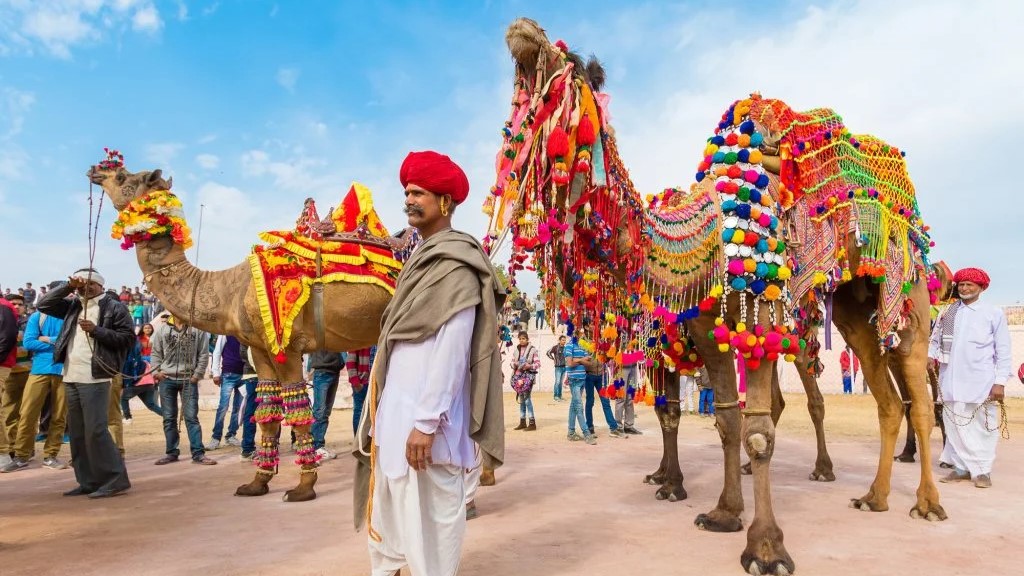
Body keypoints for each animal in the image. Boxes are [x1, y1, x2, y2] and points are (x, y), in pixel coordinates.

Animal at [87, 150, 403, 500]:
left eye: (124, 178)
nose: (96, 169)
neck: (229, 290)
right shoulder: (260, 348)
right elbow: (266, 413)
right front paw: (257, 482)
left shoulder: (288, 347)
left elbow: (298, 412)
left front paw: (303, 487)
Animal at [487, 16, 942, 569]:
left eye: (568, 65)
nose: (522, 30)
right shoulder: (703, 332)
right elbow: (721, 420)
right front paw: (721, 511)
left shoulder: (758, 315)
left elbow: (757, 432)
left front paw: (765, 547)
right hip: (855, 311)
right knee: (887, 399)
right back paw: (873, 497)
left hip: (900, 294)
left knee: (908, 398)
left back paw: (917, 500)